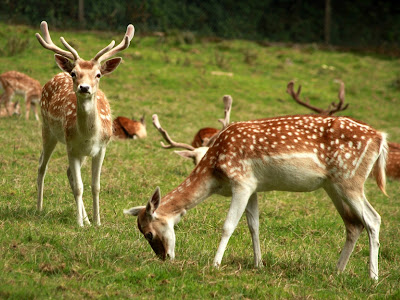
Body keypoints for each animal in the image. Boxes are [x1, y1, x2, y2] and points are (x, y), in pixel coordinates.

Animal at [35, 21, 134, 226]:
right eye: (74, 73)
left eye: (98, 75)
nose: (84, 87)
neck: (89, 136)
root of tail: (58, 74)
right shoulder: (71, 147)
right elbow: (80, 186)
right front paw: (80, 224)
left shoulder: (102, 148)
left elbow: (95, 186)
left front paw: (96, 222)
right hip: (47, 129)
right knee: (42, 165)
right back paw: (39, 208)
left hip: (78, 151)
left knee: (68, 173)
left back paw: (87, 219)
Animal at [125, 113, 388, 280]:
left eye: (148, 233)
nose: (164, 258)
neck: (215, 171)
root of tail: (380, 138)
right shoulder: (253, 187)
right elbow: (254, 226)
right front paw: (258, 264)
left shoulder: (241, 181)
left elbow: (228, 225)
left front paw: (215, 264)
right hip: (333, 186)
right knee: (353, 224)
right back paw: (337, 271)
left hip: (350, 179)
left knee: (373, 219)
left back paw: (372, 277)